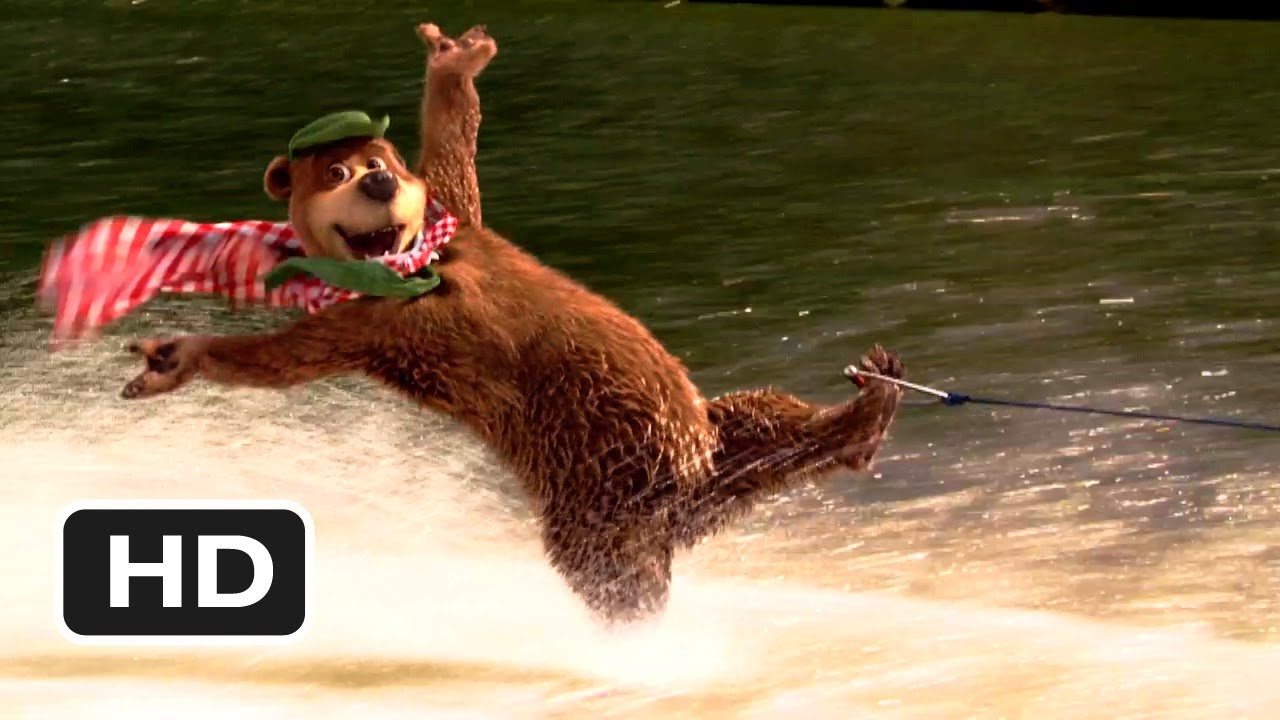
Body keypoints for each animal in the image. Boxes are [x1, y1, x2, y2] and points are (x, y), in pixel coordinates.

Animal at [115, 23, 908, 625]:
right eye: (335, 174)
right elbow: (285, 358)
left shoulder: (457, 222)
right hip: (597, 499)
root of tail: (675, 507)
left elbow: (452, 156)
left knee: (761, 419)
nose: (378, 179)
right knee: (619, 566)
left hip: (697, 447)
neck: (416, 265)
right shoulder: (370, 326)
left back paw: (866, 407)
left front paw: (453, 58)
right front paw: (173, 357)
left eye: (376, 161)